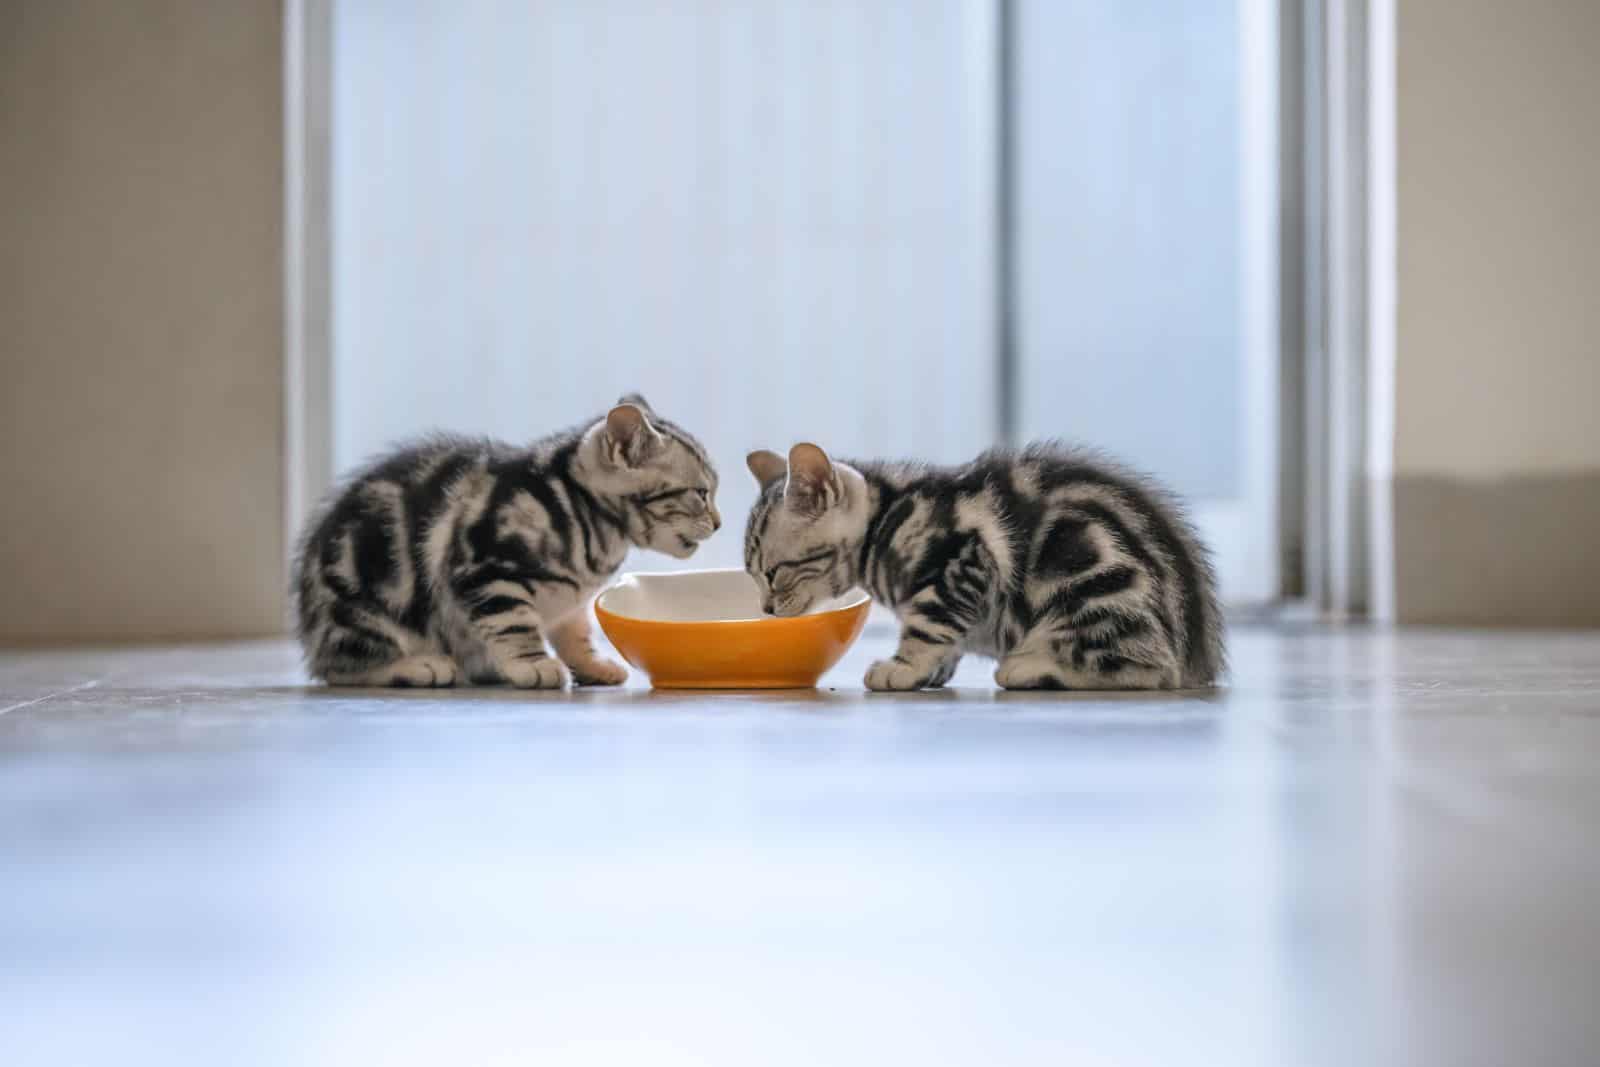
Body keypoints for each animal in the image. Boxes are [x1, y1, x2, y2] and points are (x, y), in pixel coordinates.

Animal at [296, 396, 720, 687]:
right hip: (367, 610)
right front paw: (533, 663)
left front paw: (591, 665)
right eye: (700, 493)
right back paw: (418, 665)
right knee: (339, 667)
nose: (718, 523)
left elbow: (575, 635)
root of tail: (311, 629)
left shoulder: (570, 603)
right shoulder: (488, 570)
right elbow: (515, 624)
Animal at [742, 441, 1216, 694]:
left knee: (1144, 669)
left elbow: (928, 626)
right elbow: (948, 638)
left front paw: (904, 667)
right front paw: (932, 671)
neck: (885, 519)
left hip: (1085, 582)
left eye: (773, 573)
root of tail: (1195, 657)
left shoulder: (958, 563)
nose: (765, 609)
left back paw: (1030, 667)